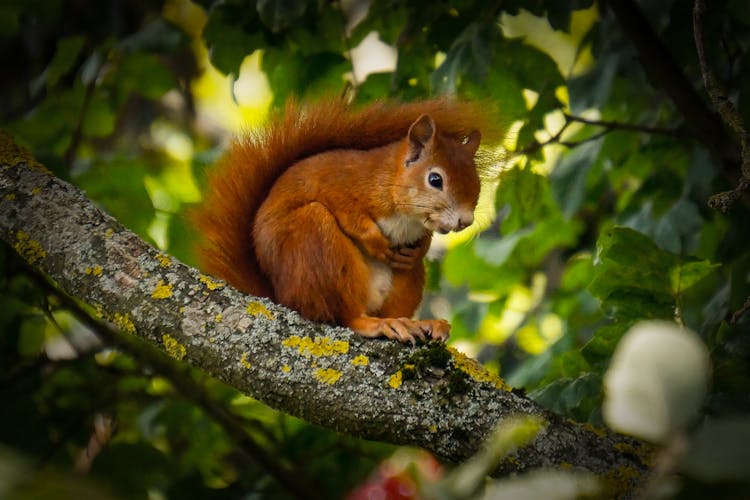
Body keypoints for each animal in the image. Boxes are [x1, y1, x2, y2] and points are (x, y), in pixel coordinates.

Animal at [197, 99, 496, 346]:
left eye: (477, 184)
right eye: (435, 179)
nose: (465, 220)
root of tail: (281, 296)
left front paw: (417, 250)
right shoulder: (335, 183)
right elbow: (350, 215)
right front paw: (375, 242)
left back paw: (418, 322)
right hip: (315, 243)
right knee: (342, 316)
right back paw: (377, 324)